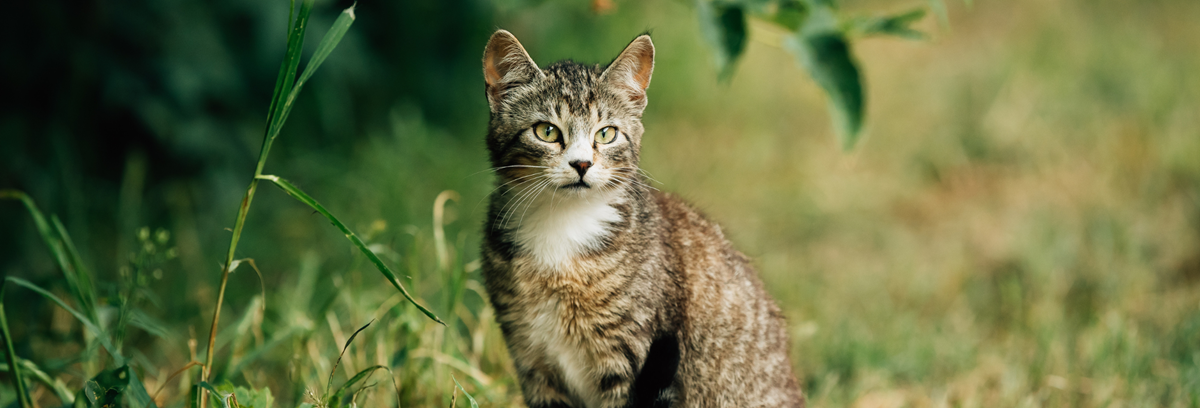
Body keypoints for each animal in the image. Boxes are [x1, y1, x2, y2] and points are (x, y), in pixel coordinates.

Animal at [477, 29, 806, 408]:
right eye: (546, 131)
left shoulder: (628, 356)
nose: (581, 164)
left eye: (606, 133)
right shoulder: (531, 356)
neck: (562, 226)